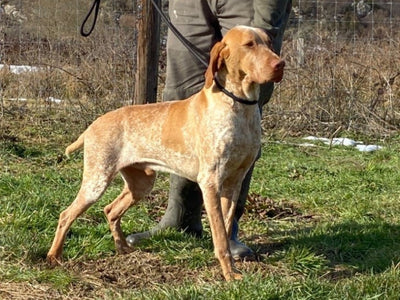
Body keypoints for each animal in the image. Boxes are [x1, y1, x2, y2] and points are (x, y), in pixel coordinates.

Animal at [47, 25, 284, 282]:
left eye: (269, 43)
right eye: (249, 44)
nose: (280, 64)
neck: (240, 107)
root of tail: (92, 125)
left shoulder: (234, 182)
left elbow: (227, 226)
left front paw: (230, 266)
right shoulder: (210, 182)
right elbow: (220, 236)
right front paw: (229, 273)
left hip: (141, 184)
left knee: (110, 210)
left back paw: (123, 248)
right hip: (96, 181)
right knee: (66, 215)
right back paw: (53, 256)